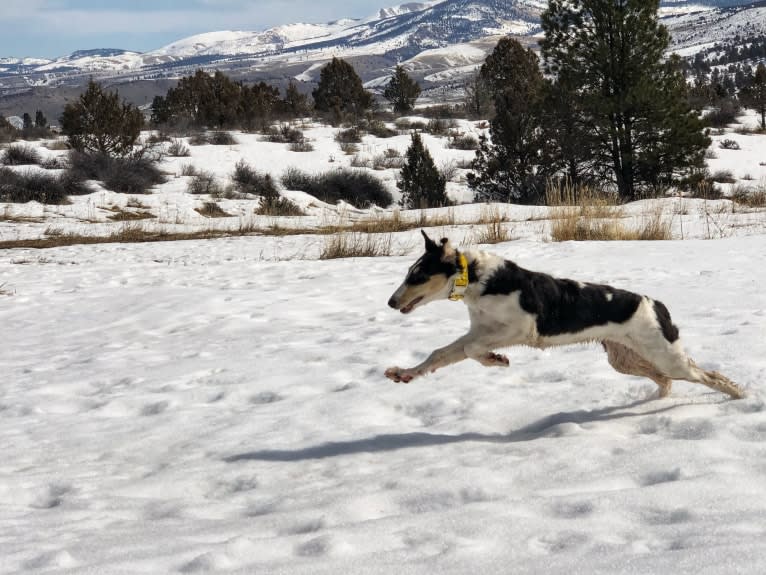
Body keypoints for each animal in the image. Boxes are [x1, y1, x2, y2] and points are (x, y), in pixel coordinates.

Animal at [388, 232, 748, 398]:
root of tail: (654, 303)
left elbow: (470, 350)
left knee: (708, 375)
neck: (478, 279)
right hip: (625, 358)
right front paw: (403, 373)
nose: (391, 302)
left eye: (417, 276)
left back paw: (739, 396)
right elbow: (440, 354)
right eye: (408, 272)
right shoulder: (481, 330)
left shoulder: (521, 329)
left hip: (665, 356)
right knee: (666, 380)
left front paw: (497, 360)